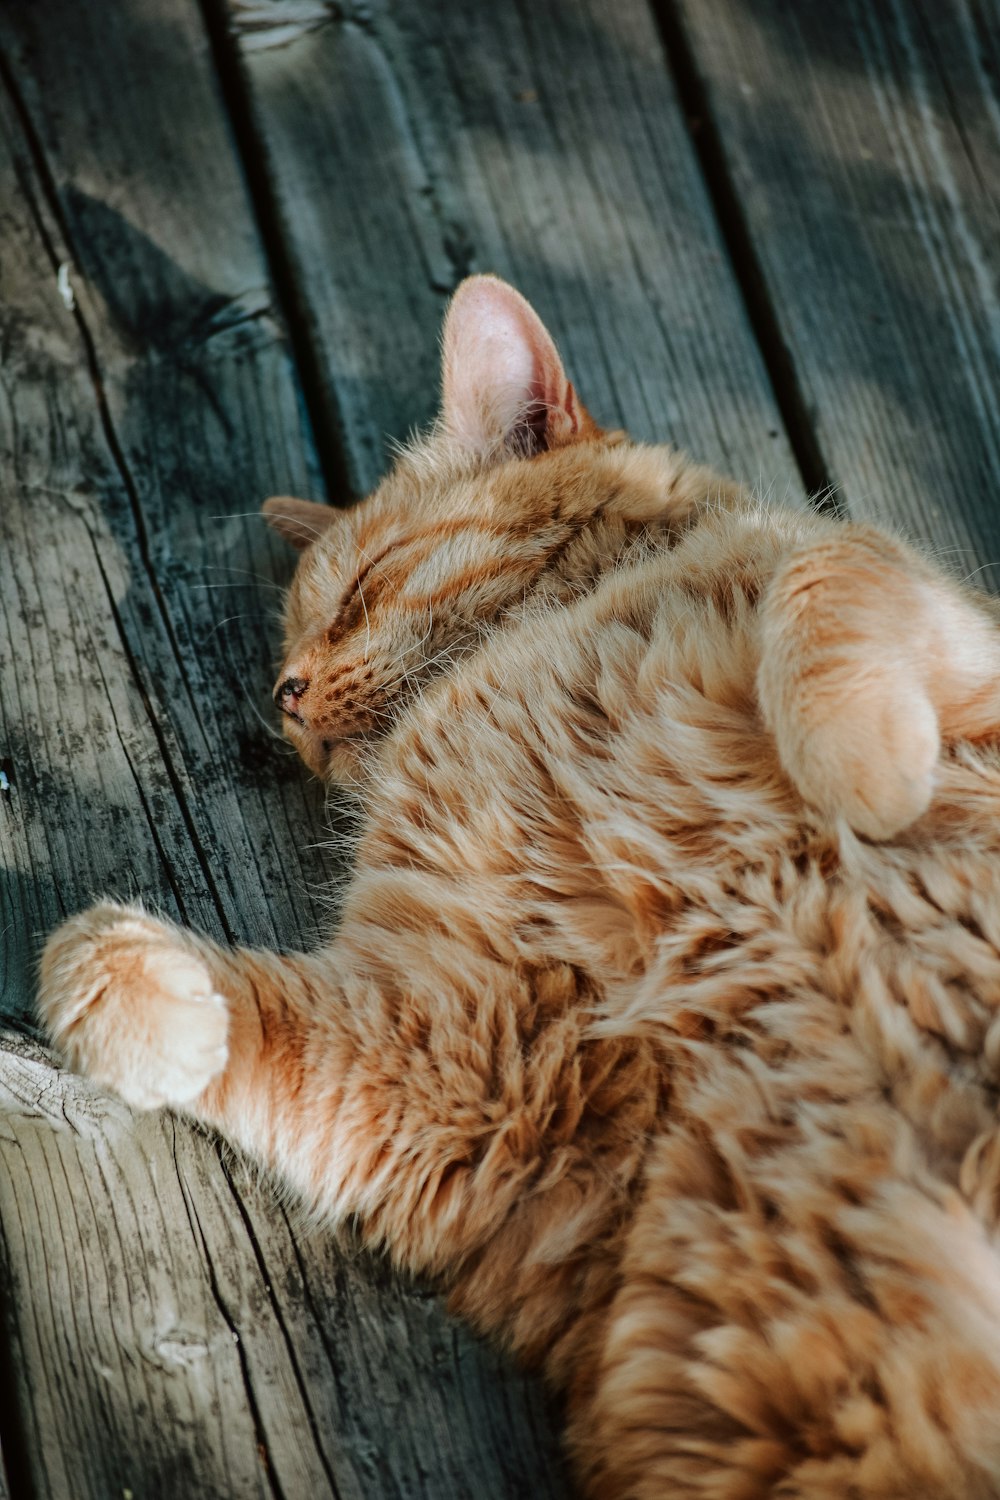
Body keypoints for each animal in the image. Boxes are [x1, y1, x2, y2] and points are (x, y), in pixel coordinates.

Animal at [44, 276, 1000, 1494]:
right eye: (293, 642)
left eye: (355, 595)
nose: (285, 695)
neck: (518, 662)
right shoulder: (475, 1060)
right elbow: (224, 1005)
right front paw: (151, 1006)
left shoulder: (939, 626)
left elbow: (821, 581)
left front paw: (862, 773)